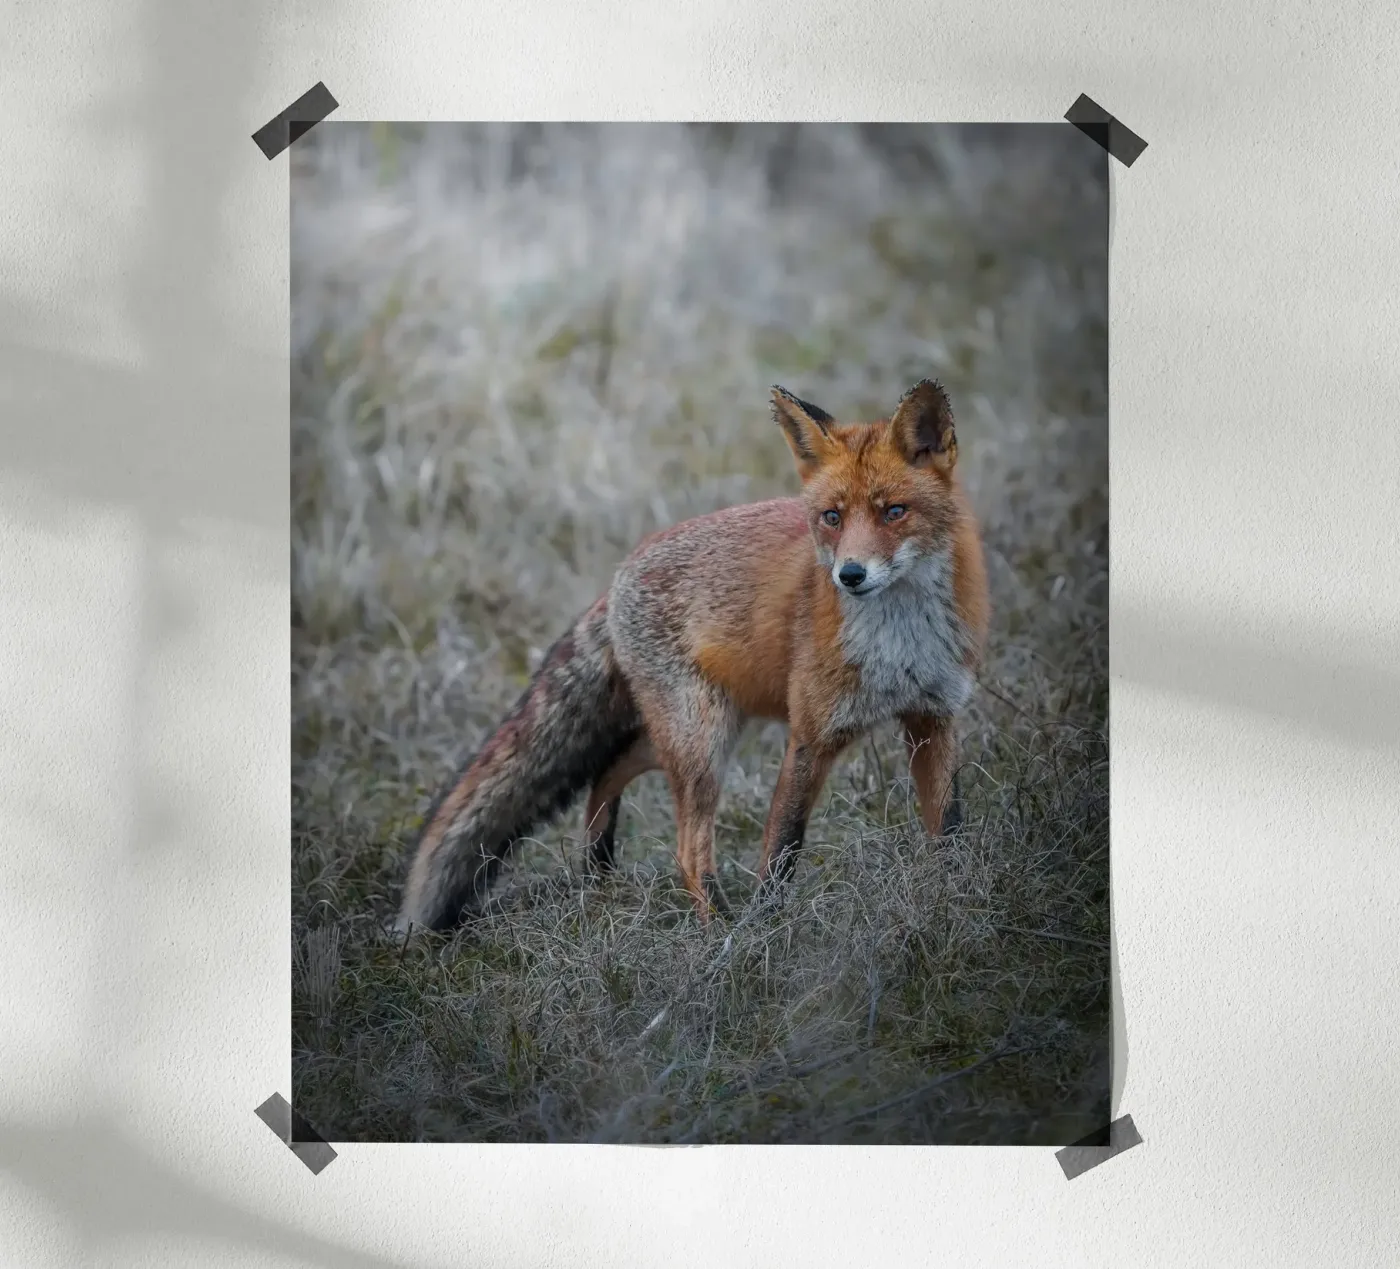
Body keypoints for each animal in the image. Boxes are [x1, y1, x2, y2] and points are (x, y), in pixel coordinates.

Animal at [395, 378, 990, 933]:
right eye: (831, 517)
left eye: (894, 512)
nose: (850, 575)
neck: (898, 643)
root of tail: (619, 574)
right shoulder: (811, 734)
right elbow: (781, 852)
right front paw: (760, 938)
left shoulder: (933, 717)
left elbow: (950, 829)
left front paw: (954, 902)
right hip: (703, 739)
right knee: (686, 849)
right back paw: (716, 930)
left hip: (701, 730)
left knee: (609, 767)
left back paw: (599, 867)